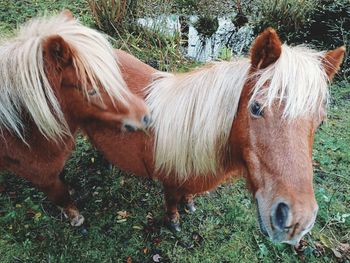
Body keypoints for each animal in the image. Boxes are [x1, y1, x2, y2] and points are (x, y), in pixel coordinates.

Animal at [0, 11, 150, 227]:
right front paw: (76, 219)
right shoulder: (42, 177)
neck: (23, 132)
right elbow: (61, 196)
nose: (146, 116)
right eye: (91, 90)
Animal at [83, 28, 346, 245]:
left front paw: (189, 205)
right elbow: (171, 201)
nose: (297, 221)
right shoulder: (169, 181)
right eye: (256, 108)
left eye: (320, 121)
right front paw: (174, 222)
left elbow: (187, 195)